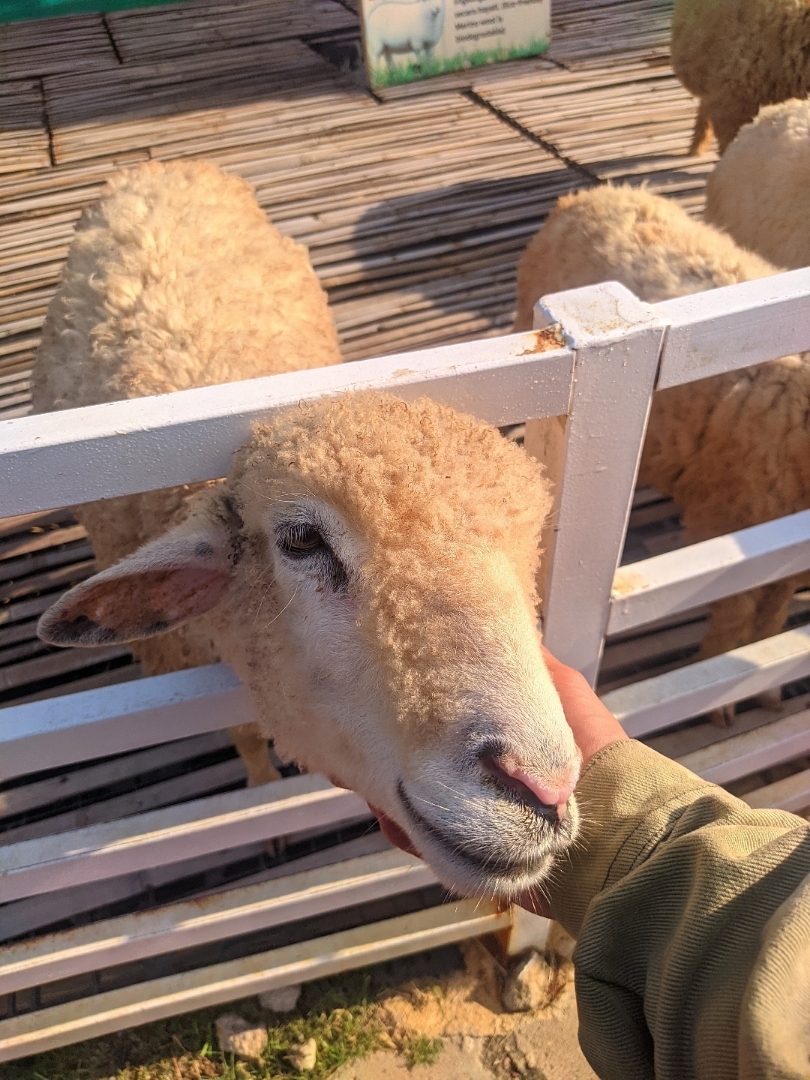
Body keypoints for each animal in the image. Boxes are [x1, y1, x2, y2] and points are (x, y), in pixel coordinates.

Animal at [515, 185, 808, 723]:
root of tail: (594, 193)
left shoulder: (779, 543)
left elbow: (772, 613)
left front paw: (765, 689)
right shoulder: (737, 522)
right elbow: (739, 614)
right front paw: (722, 695)